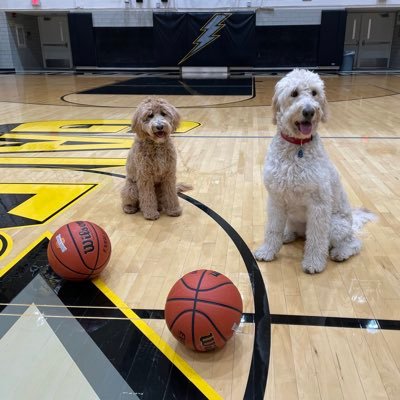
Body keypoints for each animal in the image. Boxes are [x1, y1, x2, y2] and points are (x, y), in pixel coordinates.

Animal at [255, 69, 374, 276]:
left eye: (314, 93)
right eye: (294, 93)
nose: (309, 111)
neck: (297, 148)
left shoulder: (318, 204)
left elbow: (317, 239)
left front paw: (314, 263)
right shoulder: (276, 199)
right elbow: (272, 229)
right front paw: (268, 250)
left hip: (336, 226)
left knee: (352, 243)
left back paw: (341, 252)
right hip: (293, 218)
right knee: (296, 231)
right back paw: (287, 234)